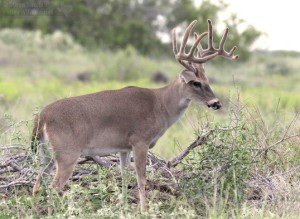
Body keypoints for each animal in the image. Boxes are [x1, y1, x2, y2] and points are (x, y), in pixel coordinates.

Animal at [29, 19, 237, 211]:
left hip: (45, 154)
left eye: (207, 80)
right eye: (195, 83)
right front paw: (144, 210)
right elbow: (141, 178)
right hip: (67, 152)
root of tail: (42, 117)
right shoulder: (140, 140)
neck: (161, 105)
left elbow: (124, 177)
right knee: (53, 188)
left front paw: (124, 208)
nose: (216, 103)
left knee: (37, 186)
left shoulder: (123, 147)